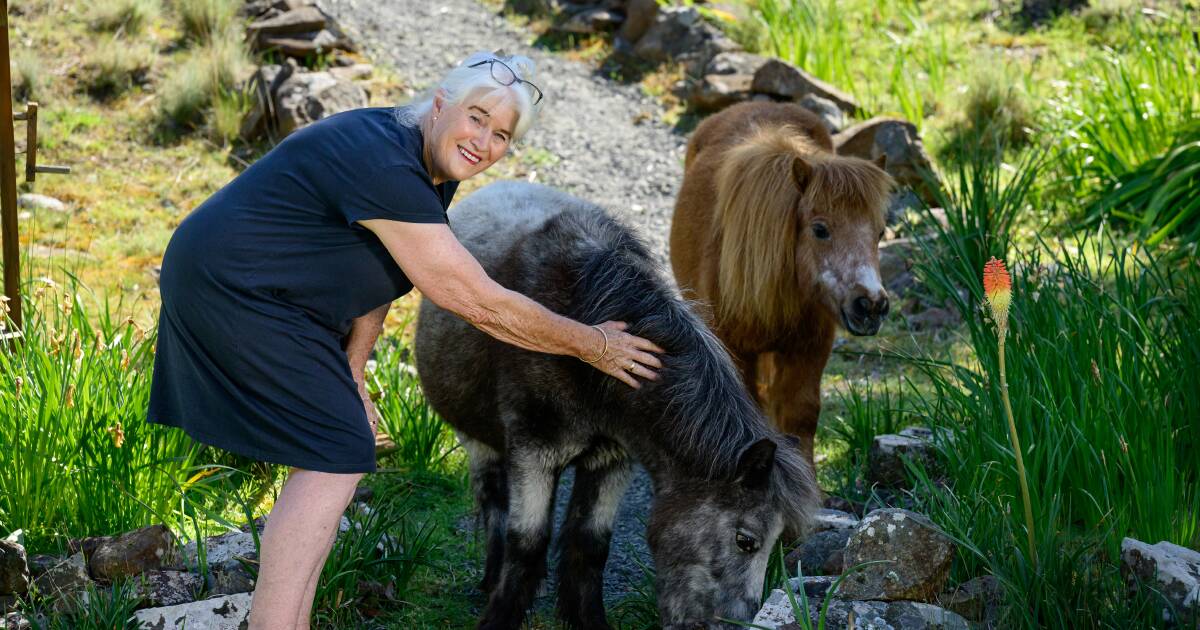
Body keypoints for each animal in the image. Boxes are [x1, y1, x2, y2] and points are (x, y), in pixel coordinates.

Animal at [415, 181, 818, 630]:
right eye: (746, 541)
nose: (731, 625)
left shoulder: (611, 460)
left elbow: (590, 544)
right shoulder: (533, 454)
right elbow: (527, 541)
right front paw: (499, 617)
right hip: (482, 445)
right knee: (495, 507)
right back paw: (491, 578)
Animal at [669, 101, 894, 469]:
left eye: (880, 232)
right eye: (820, 229)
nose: (871, 304)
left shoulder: (809, 349)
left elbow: (799, 415)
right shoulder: (735, 349)